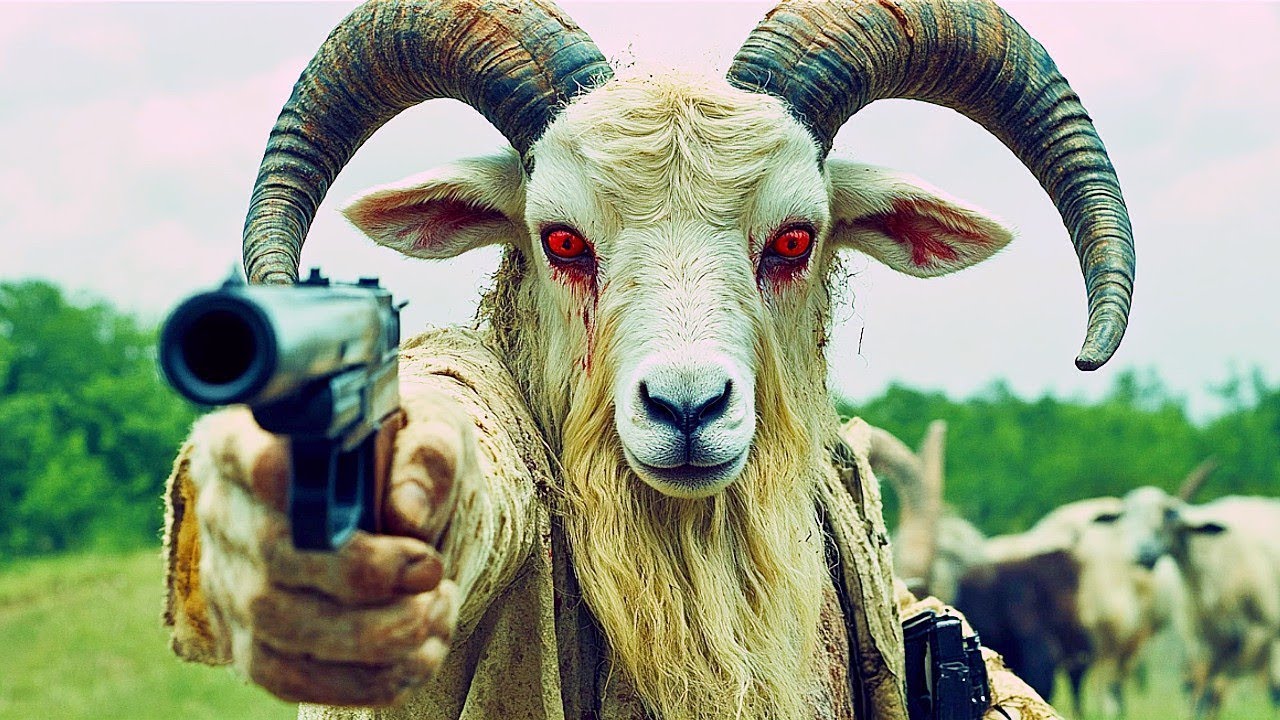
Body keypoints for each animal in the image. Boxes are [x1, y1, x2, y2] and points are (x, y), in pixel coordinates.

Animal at [1114, 488, 1280, 719]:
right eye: (1126, 516)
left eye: (1168, 514)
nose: (1142, 552)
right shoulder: (1203, 643)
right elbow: (1203, 695)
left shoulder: (1262, 634)